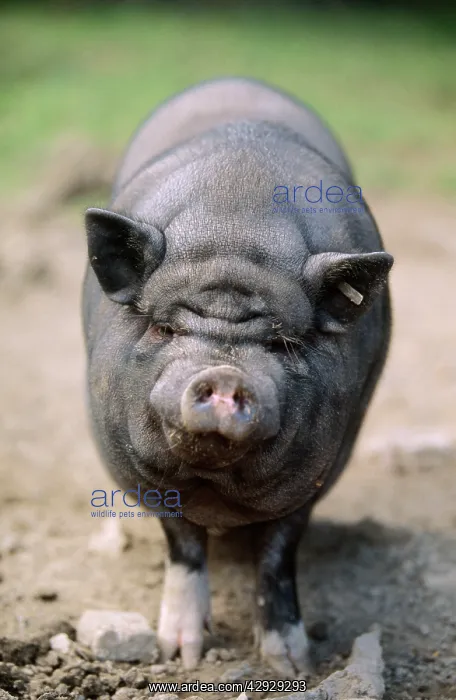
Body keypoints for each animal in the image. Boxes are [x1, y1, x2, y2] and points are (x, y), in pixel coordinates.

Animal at [82, 77, 393, 677]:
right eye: (164, 327)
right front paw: (179, 655)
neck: (235, 238)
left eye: (281, 343)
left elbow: (278, 554)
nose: (225, 375)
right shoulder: (140, 474)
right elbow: (183, 545)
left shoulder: (319, 471)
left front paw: (292, 666)